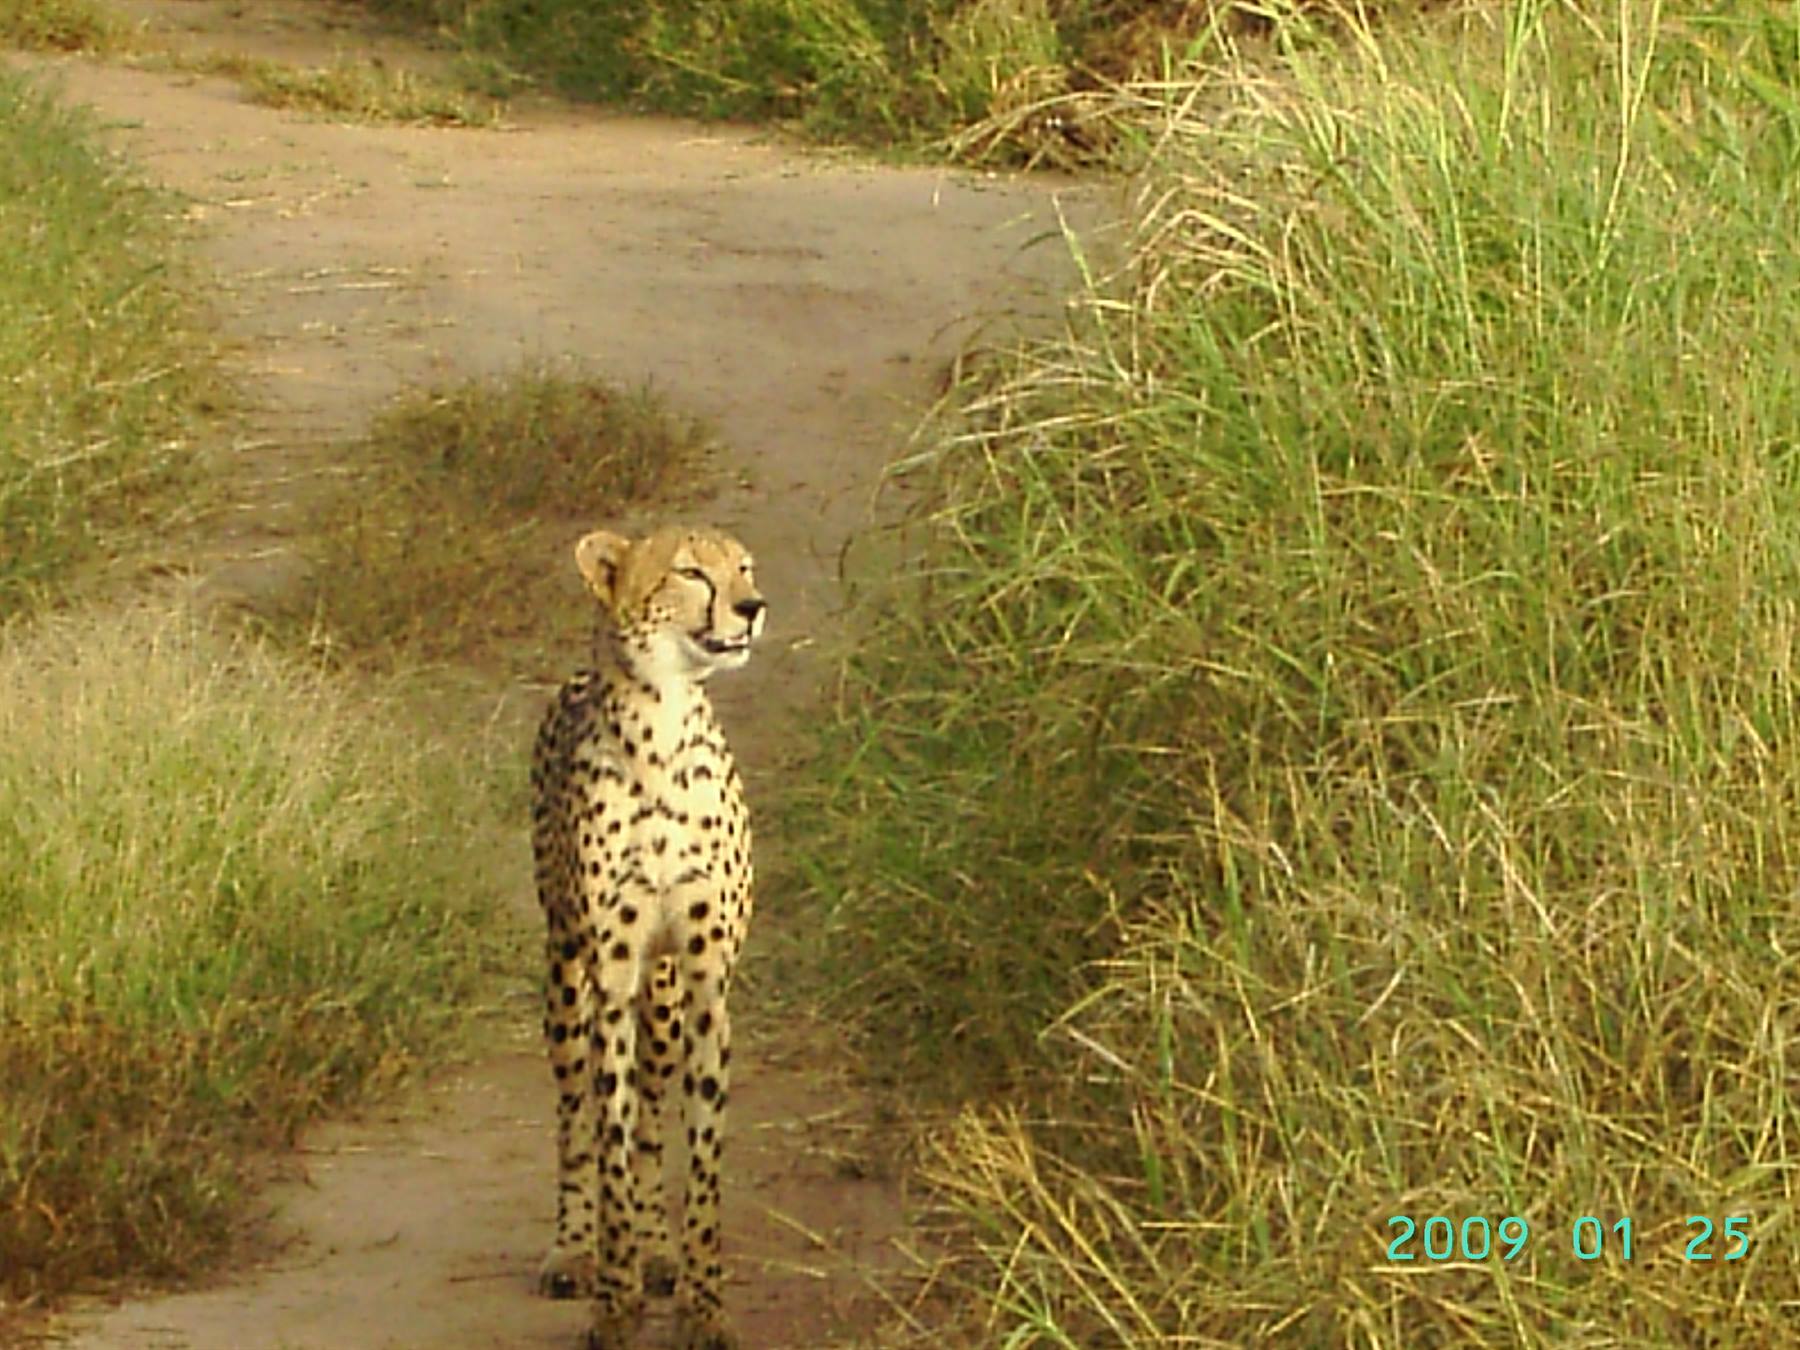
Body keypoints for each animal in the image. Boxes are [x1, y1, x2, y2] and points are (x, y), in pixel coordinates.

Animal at [530, 524, 765, 1350]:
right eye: (691, 573)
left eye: (743, 567)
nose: (753, 606)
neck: (661, 725)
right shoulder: (609, 970)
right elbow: (611, 1139)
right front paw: (615, 1303)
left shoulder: (704, 978)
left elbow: (696, 1149)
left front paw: (702, 1304)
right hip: (566, 980)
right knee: (575, 1114)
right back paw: (573, 1250)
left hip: (661, 1003)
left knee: (656, 1111)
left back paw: (658, 1251)